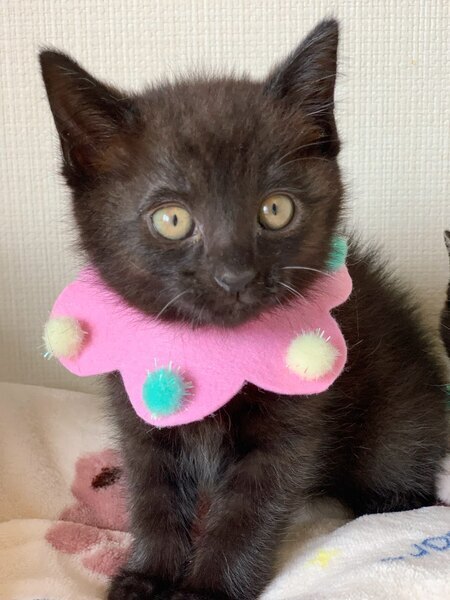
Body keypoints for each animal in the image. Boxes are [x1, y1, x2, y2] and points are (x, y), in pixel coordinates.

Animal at [40, 19, 448, 600]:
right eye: (172, 219)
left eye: (275, 209)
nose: (235, 276)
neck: (215, 352)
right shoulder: (138, 417)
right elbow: (152, 496)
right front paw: (148, 577)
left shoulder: (292, 424)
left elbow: (249, 509)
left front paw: (209, 589)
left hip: (397, 423)